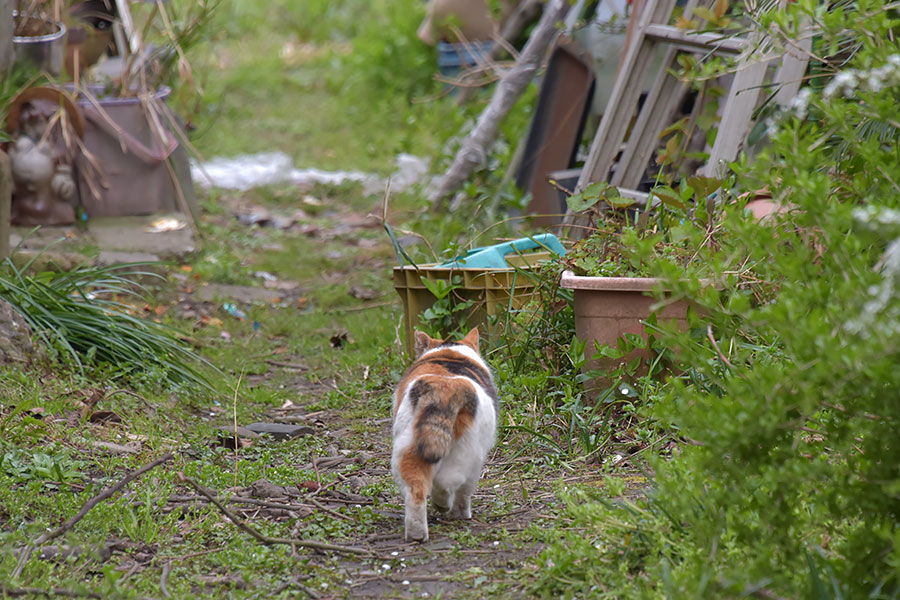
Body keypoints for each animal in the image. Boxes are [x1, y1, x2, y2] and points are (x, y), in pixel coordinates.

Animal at [388, 330, 496, 540]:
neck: (450, 352)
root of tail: (445, 387)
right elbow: (465, 492)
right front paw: (461, 514)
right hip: (468, 452)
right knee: (447, 481)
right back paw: (444, 506)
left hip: (407, 449)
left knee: (416, 490)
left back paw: (416, 534)